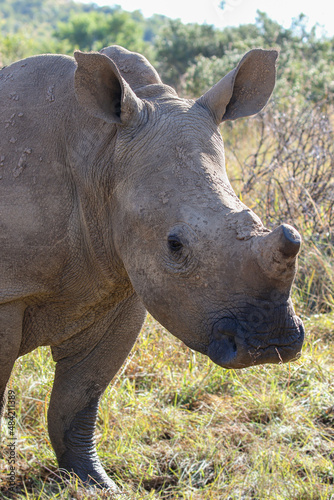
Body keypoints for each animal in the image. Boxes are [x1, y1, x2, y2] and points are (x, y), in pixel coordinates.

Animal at [0, 45, 304, 490]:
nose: (272, 345)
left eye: (255, 221)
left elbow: (81, 396)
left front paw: (97, 484)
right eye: (174, 245)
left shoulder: (122, 282)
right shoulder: (9, 289)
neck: (101, 152)